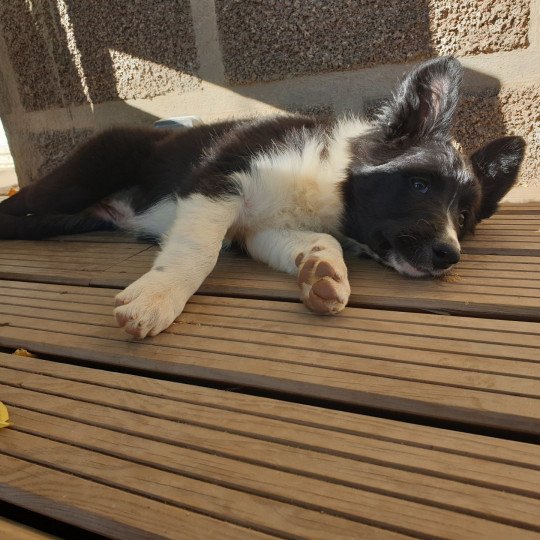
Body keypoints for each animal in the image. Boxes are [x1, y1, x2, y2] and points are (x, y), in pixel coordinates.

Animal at [0, 58, 524, 338]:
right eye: (418, 185)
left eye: (463, 215)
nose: (448, 255)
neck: (327, 179)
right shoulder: (217, 180)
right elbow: (197, 251)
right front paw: (157, 298)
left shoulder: (259, 232)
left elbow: (316, 242)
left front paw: (323, 272)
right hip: (84, 175)